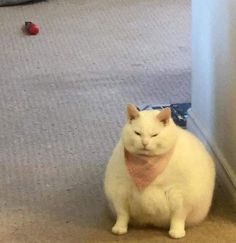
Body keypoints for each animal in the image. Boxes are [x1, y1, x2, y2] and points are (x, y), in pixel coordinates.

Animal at [104, 103, 215, 238]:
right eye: (137, 133)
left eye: (154, 135)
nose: (145, 143)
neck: (147, 164)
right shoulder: (119, 191)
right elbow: (122, 214)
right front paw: (119, 228)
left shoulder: (181, 196)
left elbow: (178, 217)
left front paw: (176, 232)